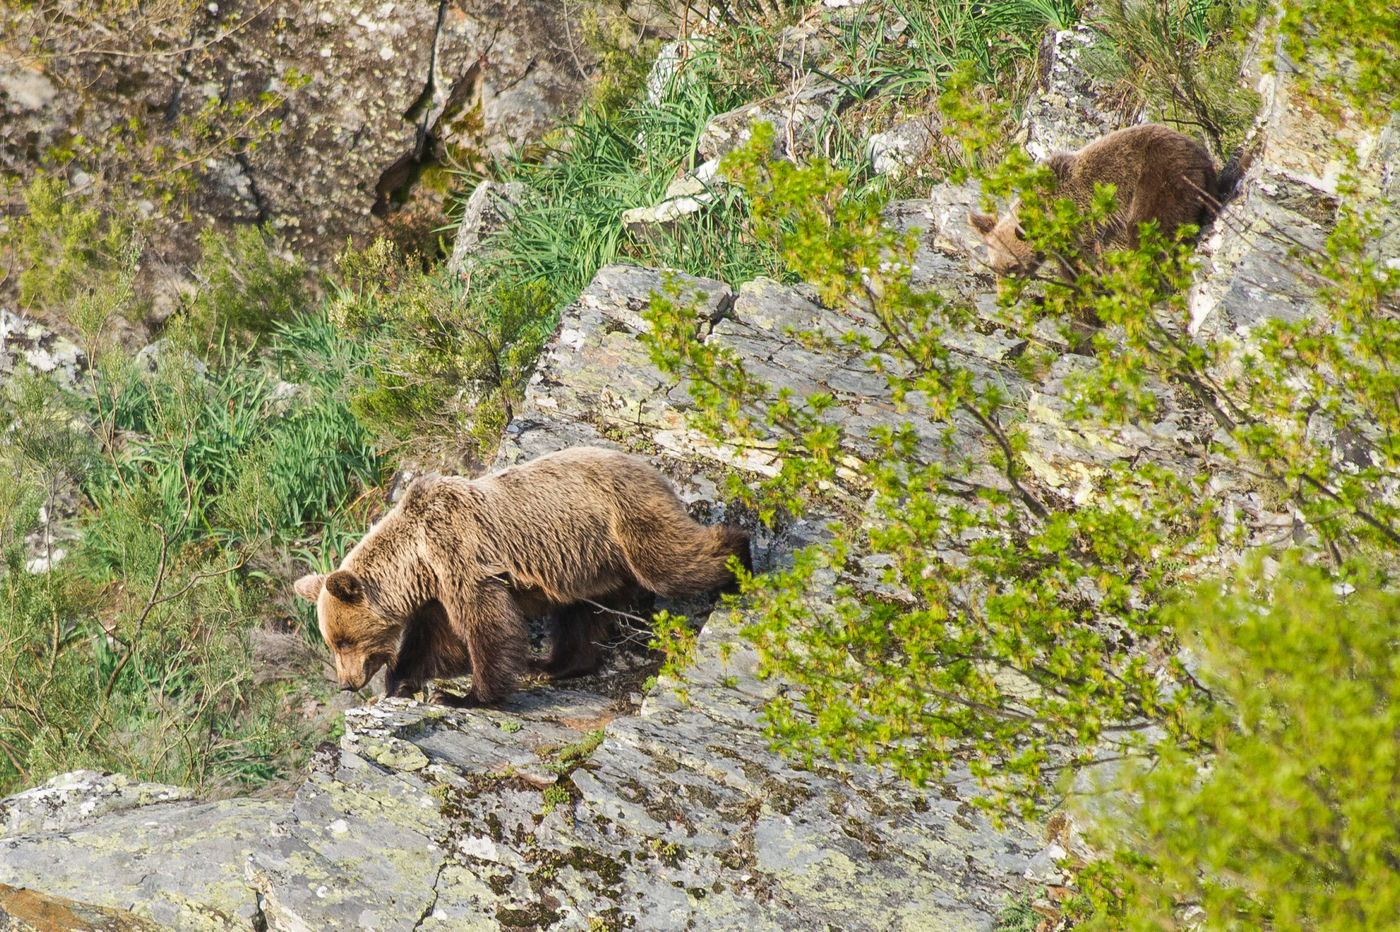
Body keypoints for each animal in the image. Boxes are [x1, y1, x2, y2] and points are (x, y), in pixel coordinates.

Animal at [292, 445, 756, 705]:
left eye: (343, 640)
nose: (346, 684)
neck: (418, 561)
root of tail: (651, 468)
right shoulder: (437, 592)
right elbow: (435, 643)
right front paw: (402, 683)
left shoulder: (462, 556)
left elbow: (487, 626)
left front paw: (464, 696)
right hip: (590, 564)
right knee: (580, 615)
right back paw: (553, 666)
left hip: (624, 520)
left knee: (669, 562)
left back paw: (742, 562)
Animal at [968, 122, 1220, 275]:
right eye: (994, 268)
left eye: (1012, 267)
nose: (1005, 299)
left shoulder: (1082, 218)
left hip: (1159, 173)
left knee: (1150, 224)